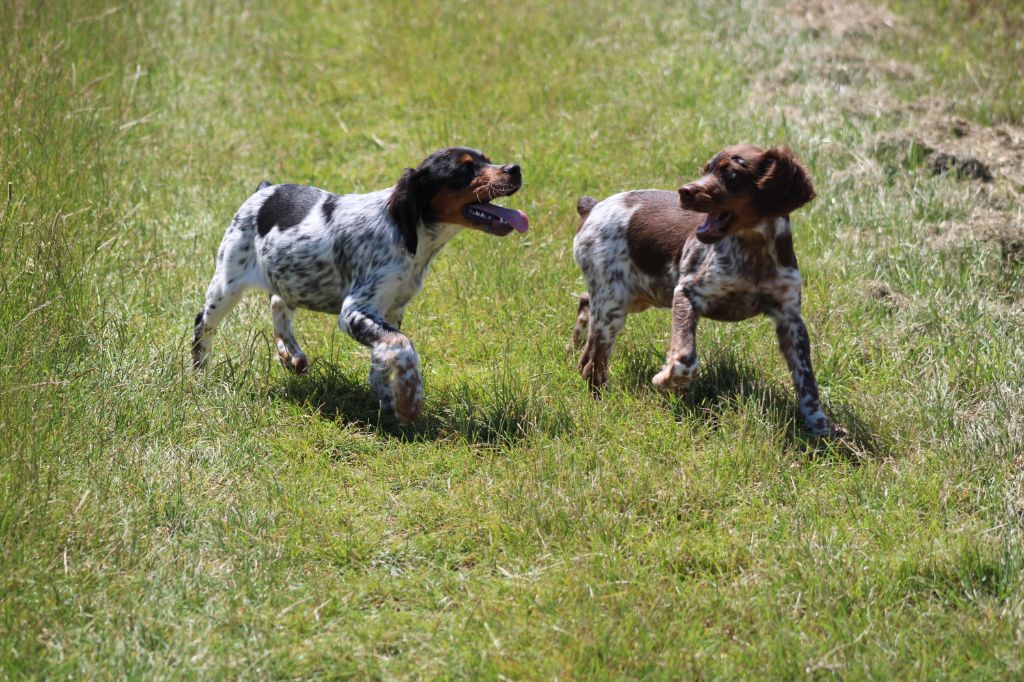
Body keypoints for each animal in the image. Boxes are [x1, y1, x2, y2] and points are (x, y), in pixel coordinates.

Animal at [192, 146, 528, 421]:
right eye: (465, 169)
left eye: (487, 159)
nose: (515, 168)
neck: (410, 236)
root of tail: (264, 190)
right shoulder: (355, 310)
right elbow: (403, 346)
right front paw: (409, 402)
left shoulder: (391, 310)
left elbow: (383, 354)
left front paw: (387, 399)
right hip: (227, 283)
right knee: (203, 324)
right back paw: (199, 375)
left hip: (291, 277)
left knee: (278, 303)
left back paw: (292, 355)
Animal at [573, 143, 843, 436]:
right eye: (705, 171)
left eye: (732, 175)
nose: (684, 191)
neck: (754, 252)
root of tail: (594, 207)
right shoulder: (687, 293)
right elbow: (685, 360)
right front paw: (664, 380)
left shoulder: (790, 318)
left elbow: (807, 380)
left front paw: (821, 426)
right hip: (614, 300)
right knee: (594, 358)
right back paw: (600, 398)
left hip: (633, 296)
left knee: (586, 307)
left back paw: (575, 344)